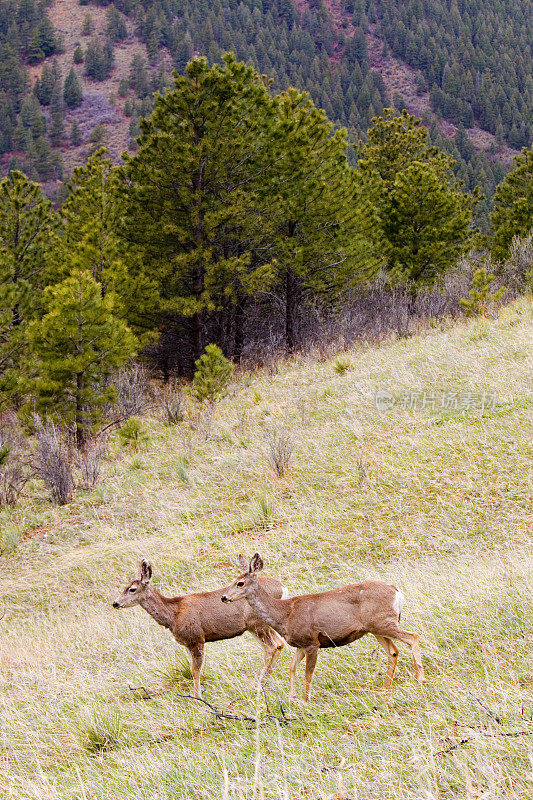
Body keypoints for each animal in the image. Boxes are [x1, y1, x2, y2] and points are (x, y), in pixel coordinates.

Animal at [113, 556, 286, 700]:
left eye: (132, 589)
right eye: (124, 587)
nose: (115, 603)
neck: (174, 615)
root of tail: (283, 589)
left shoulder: (196, 638)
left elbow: (195, 670)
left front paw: (198, 698)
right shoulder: (188, 643)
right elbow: (192, 669)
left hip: (257, 623)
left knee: (272, 646)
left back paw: (257, 684)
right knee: (279, 644)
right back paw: (261, 682)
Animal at [220, 556, 424, 700]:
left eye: (240, 583)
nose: (224, 597)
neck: (285, 614)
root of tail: (397, 591)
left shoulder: (312, 642)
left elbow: (308, 673)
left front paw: (306, 699)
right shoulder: (300, 644)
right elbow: (292, 667)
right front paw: (292, 697)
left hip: (384, 622)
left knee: (412, 637)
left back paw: (420, 679)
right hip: (375, 627)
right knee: (394, 651)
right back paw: (385, 687)